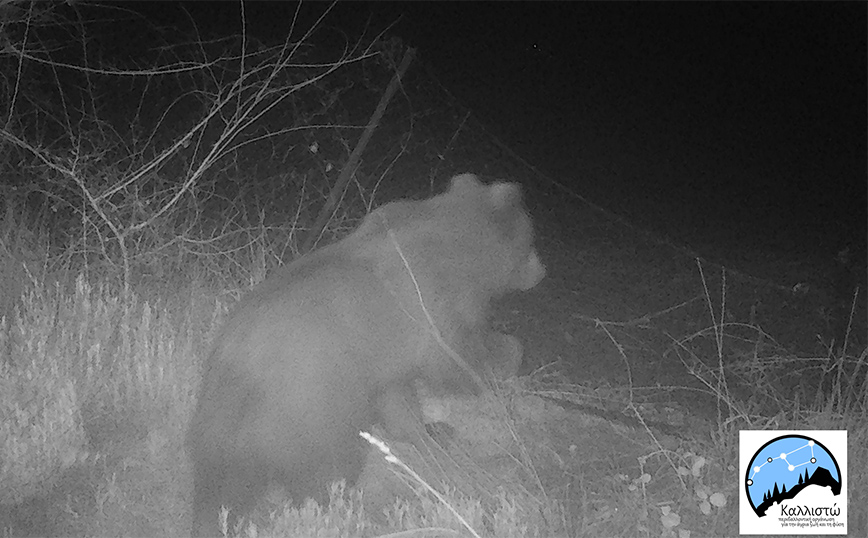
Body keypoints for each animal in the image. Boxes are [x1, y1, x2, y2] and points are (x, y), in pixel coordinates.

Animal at [186, 174, 544, 532]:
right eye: (531, 238)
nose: (542, 270)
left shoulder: (382, 358)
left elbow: (399, 399)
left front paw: (431, 430)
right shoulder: (430, 301)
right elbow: (454, 358)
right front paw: (505, 360)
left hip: (223, 434)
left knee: (222, 491)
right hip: (308, 413)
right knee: (324, 471)